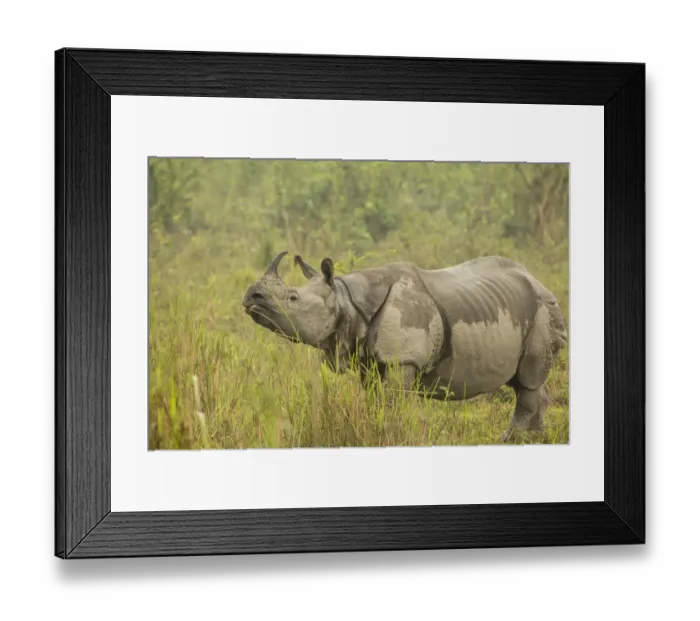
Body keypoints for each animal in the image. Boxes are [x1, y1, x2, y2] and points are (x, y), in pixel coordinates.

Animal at [242, 250, 567, 442]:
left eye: (292, 298)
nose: (251, 297)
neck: (346, 297)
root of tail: (538, 281)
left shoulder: (402, 359)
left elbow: (392, 402)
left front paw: (390, 435)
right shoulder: (369, 360)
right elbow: (374, 400)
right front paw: (374, 431)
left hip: (544, 308)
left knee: (528, 378)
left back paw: (509, 441)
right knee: (526, 381)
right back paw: (535, 440)